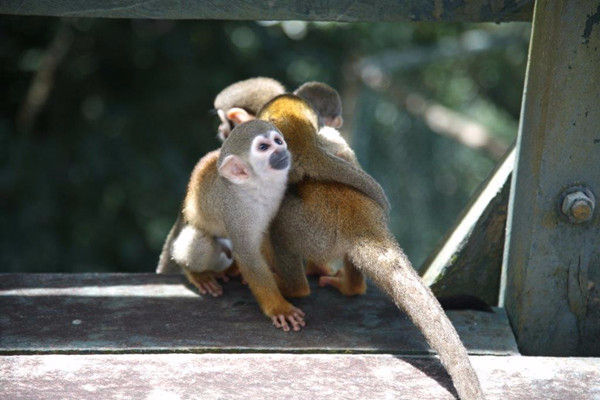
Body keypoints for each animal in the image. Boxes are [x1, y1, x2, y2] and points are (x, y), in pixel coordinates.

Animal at [260, 96, 486, 400]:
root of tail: (362, 221)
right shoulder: (330, 142)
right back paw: (351, 286)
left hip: (312, 228)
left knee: (280, 225)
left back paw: (292, 288)